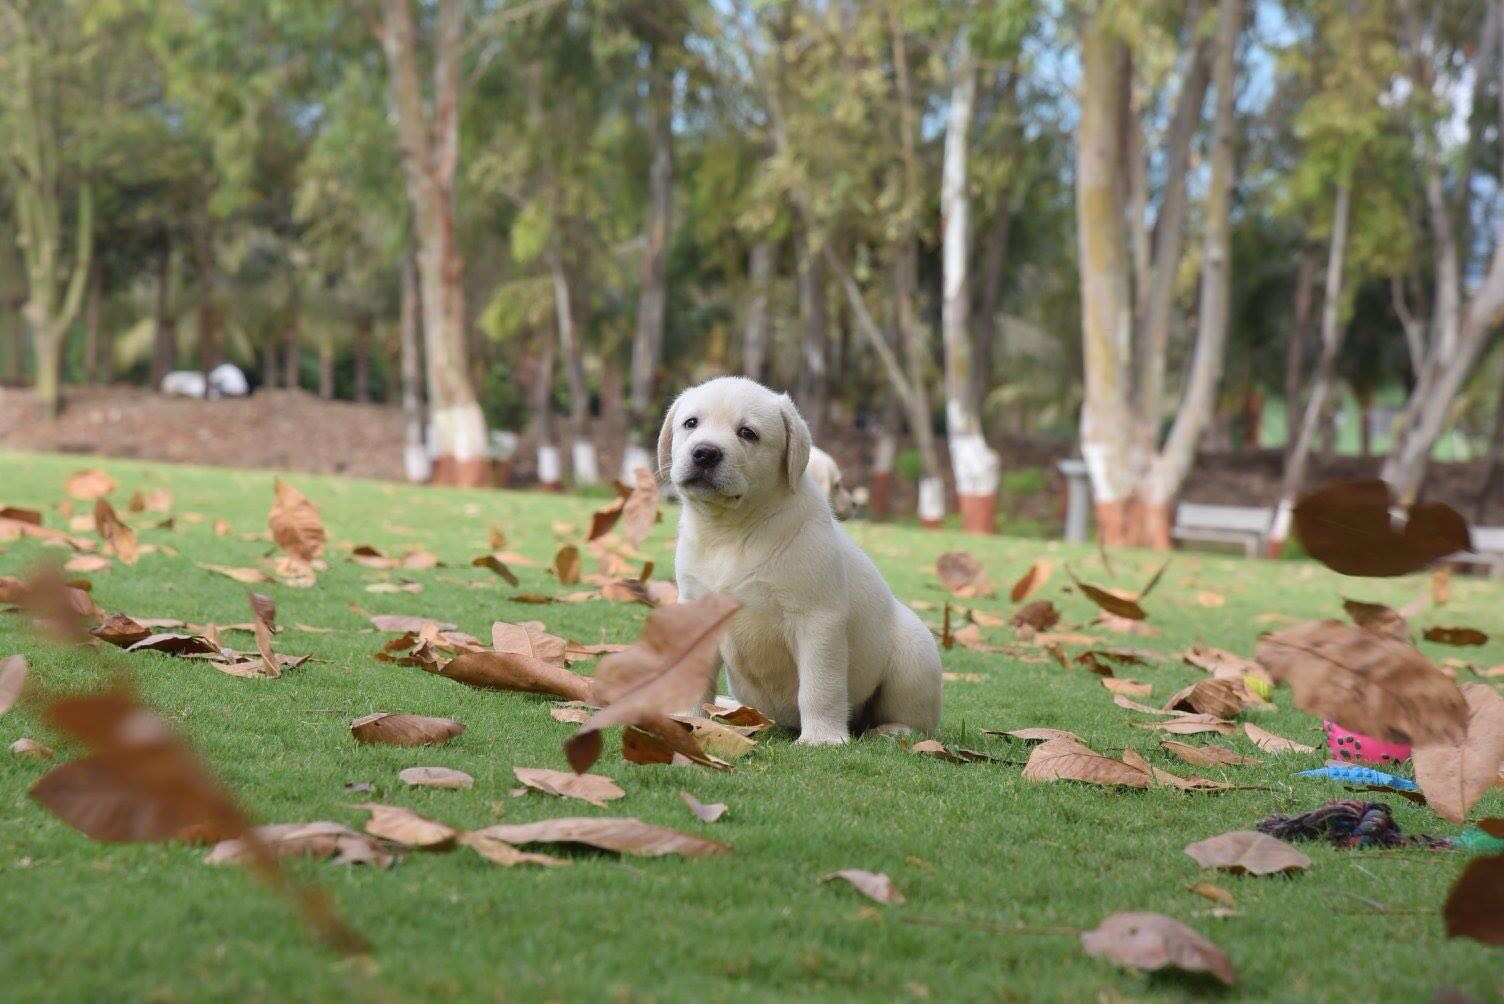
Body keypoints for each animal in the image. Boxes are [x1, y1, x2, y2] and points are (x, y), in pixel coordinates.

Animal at [661, 375, 938, 745]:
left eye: (748, 433)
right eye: (690, 423)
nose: (704, 452)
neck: (731, 530)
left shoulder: (818, 620)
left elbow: (820, 686)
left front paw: (822, 739)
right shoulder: (696, 611)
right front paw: (687, 717)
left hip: (914, 656)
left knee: (914, 719)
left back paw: (892, 730)